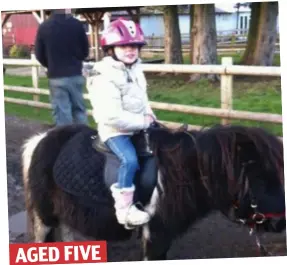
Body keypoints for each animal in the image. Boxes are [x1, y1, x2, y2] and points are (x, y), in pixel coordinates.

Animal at [21, 122, 286, 260]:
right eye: (261, 178)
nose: (280, 223)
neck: (182, 171)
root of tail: (39, 141)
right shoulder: (155, 234)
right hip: (45, 217)